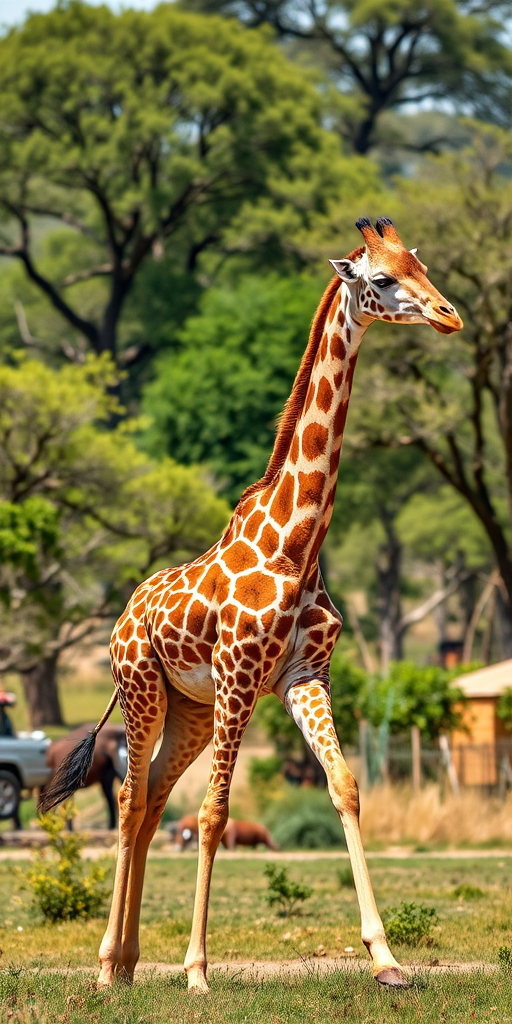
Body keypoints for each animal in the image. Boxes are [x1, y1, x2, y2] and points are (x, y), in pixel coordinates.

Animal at [40, 217, 462, 993]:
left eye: (421, 265)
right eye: (382, 278)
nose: (449, 315)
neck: (297, 542)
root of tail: (121, 618)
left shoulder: (302, 677)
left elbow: (346, 786)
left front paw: (387, 960)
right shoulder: (240, 678)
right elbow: (214, 815)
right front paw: (198, 971)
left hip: (190, 710)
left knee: (151, 801)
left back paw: (129, 961)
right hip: (144, 690)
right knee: (128, 800)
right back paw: (108, 963)